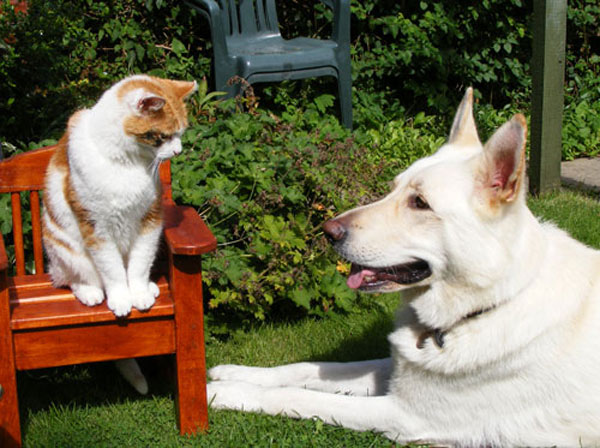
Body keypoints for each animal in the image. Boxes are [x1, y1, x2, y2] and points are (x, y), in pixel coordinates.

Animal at [42, 75, 197, 316]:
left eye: (180, 134)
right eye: (163, 136)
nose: (178, 151)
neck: (127, 164)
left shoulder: (150, 219)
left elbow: (140, 264)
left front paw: (140, 293)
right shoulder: (97, 228)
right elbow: (112, 270)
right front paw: (122, 298)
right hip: (66, 250)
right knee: (71, 278)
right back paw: (89, 292)